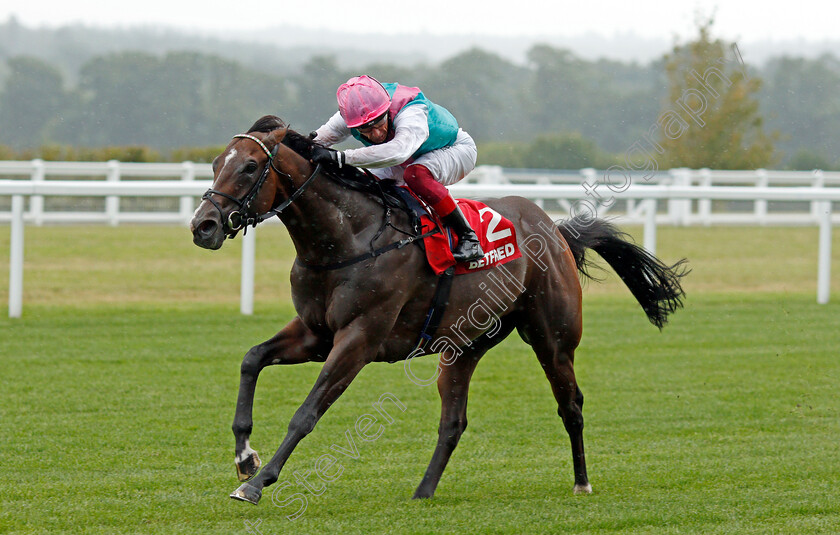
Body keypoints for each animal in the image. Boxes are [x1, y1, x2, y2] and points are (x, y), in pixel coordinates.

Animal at [187, 115, 684, 504]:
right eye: (215, 163)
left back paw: (582, 482)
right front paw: (244, 458)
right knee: (453, 421)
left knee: (571, 405)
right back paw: (423, 490)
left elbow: (307, 412)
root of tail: (556, 230)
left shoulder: (359, 338)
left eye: (250, 166)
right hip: (463, 346)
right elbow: (252, 358)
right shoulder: (316, 332)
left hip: (553, 339)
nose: (202, 226)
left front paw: (257, 483)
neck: (347, 238)